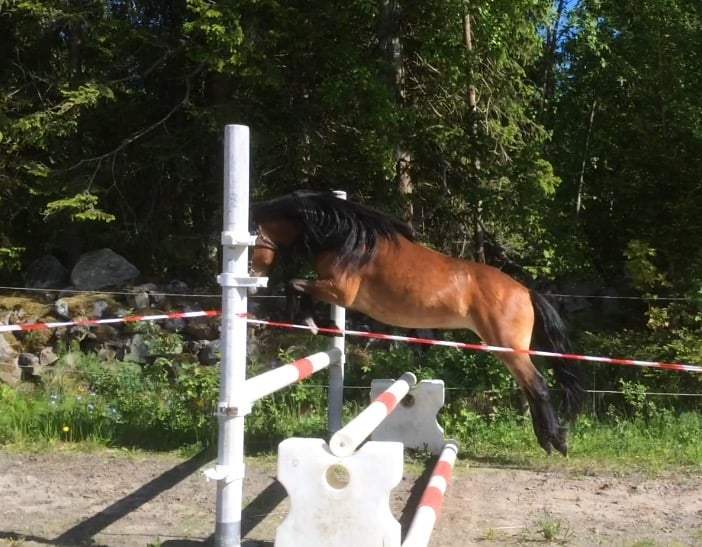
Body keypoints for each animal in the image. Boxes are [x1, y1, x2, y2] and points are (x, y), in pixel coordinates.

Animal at [250, 190, 585, 456]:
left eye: (255, 236)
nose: (254, 277)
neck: (348, 240)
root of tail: (525, 291)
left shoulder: (339, 291)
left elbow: (294, 285)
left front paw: (305, 319)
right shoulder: (334, 291)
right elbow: (296, 285)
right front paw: (309, 320)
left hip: (508, 348)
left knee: (538, 386)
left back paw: (556, 442)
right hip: (507, 350)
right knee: (531, 388)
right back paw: (549, 440)